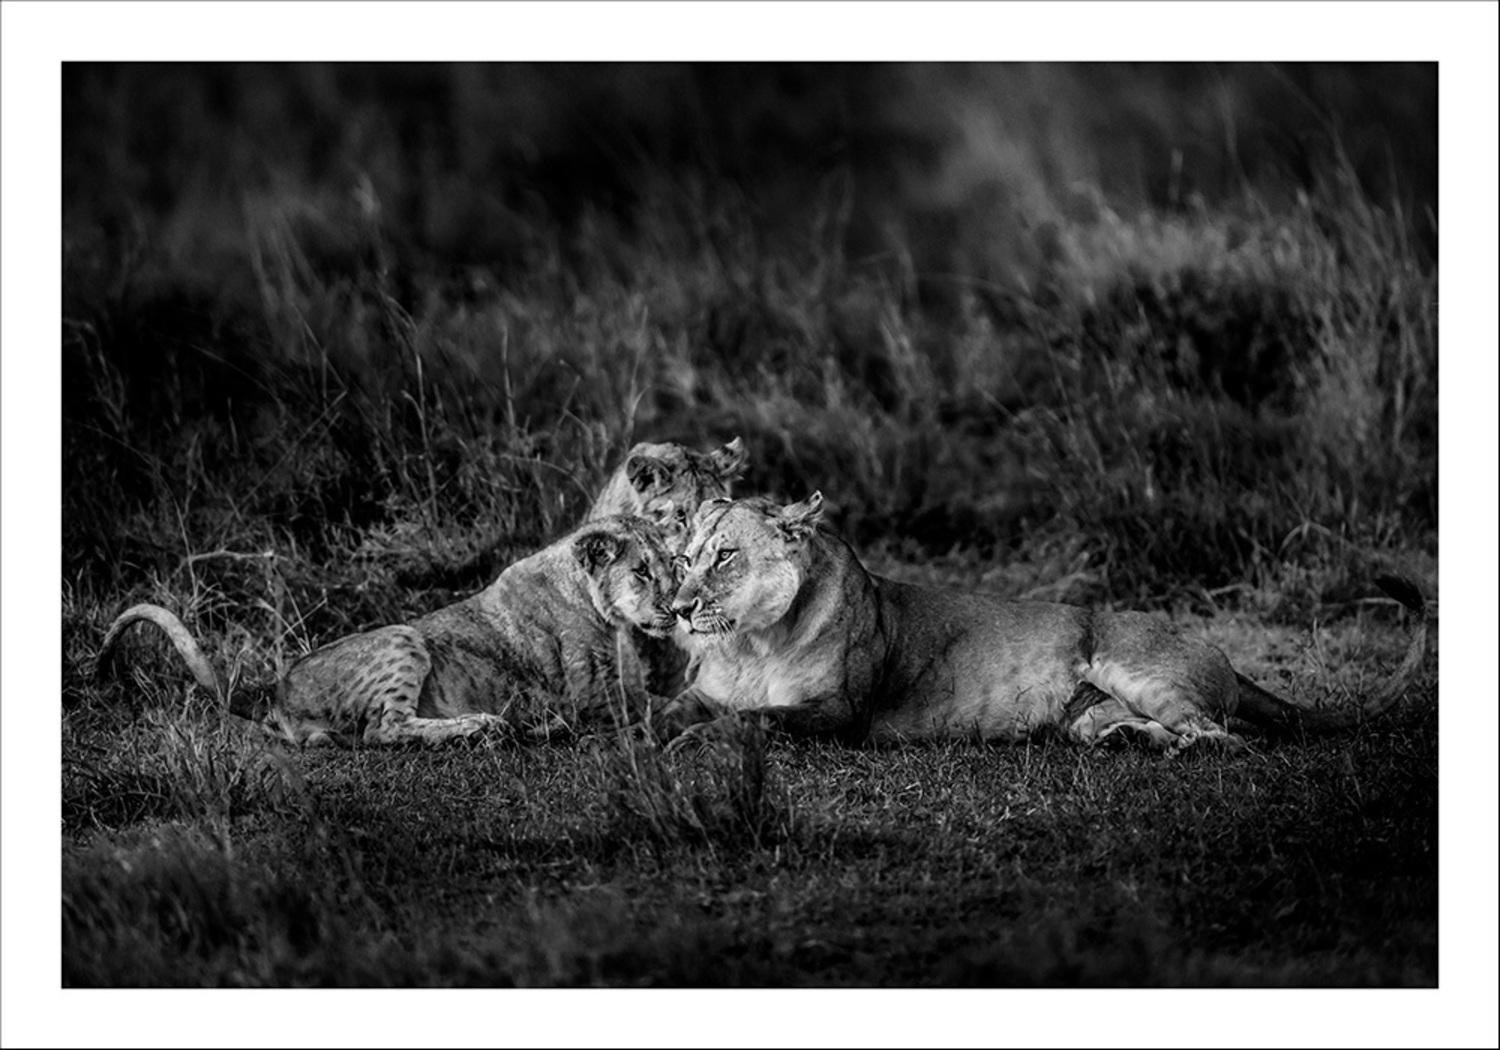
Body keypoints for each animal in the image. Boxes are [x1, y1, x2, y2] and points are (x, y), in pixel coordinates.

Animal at [97, 516, 680, 747]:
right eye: (641, 571)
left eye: (675, 564)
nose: (677, 608)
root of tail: (275, 691)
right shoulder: (597, 702)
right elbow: (661, 712)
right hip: (403, 637)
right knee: (385, 729)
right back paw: (485, 726)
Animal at [657, 494, 1429, 750]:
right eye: (684, 556)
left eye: (724, 556)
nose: (678, 608)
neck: (754, 642)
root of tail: (1231, 661)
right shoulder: (703, 689)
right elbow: (668, 708)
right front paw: (641, 729)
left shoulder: (839, 712)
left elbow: (755, 719)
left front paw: (689, 742)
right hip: (1086, 713)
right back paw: (1125, 741)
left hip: (1128, 661)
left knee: (1228, 737)